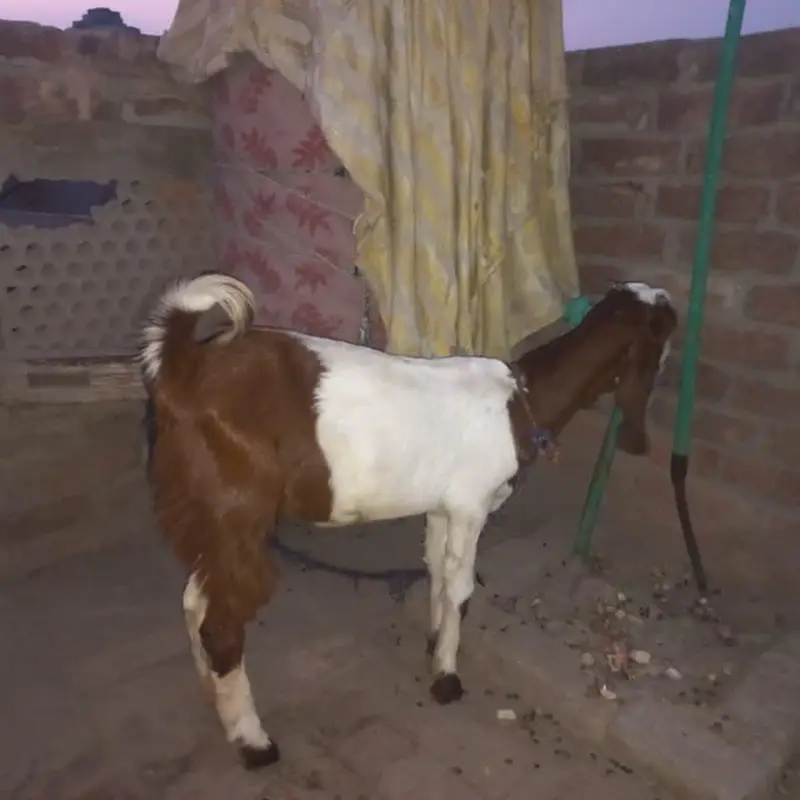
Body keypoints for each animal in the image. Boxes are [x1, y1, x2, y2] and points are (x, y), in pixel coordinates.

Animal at [140, 273, 677, 769]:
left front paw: (435, 642)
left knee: (195, 600)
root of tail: (183, 368)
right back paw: (253, 741)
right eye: (666, 328)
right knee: (222, 624)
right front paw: (447, 678)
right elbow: (461, 588)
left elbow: (437, 571)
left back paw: (212, 693)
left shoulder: (441, 507)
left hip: (211, 517)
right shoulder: (470, 505)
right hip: (240, 510)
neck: (522, 402)